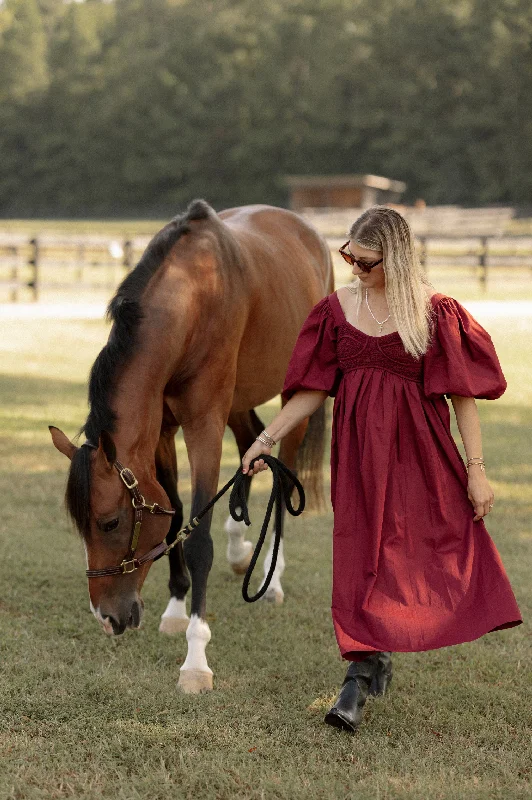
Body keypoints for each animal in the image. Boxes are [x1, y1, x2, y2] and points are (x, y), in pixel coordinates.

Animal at [50, 200, 332, 692]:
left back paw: (272, 579)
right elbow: (176, 513)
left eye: (109, 523)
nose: (107, 618)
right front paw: (177, 609)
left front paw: (196, 659)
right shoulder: (162, 431)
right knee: (252, 444)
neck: (193, 298)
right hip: (239, 400)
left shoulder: (203, 425)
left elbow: (198, 535)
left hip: (291, 398)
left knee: (283, 477)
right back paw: (240, 550)